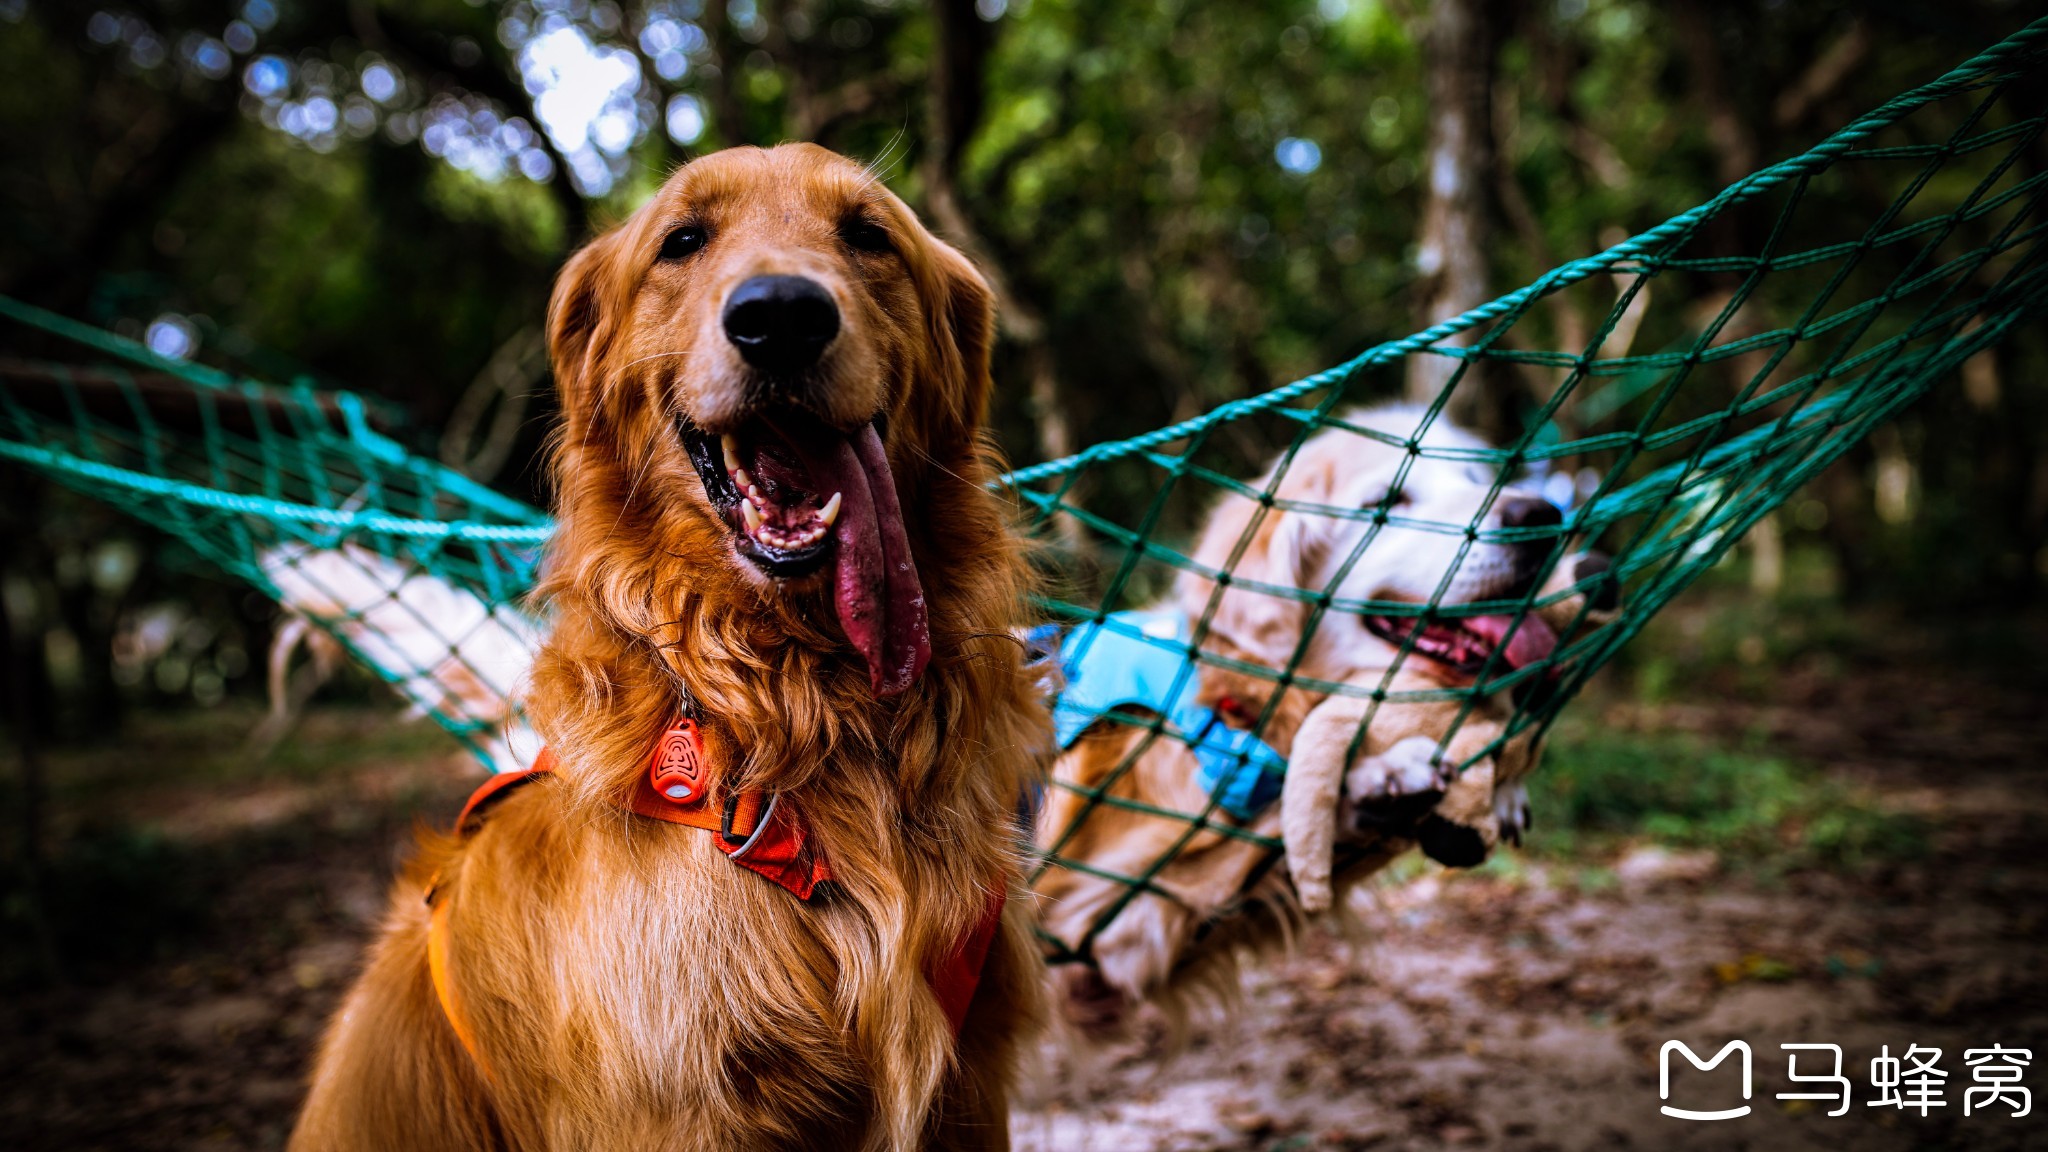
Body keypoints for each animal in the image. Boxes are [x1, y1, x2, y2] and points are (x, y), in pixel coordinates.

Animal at [288, 141, 1048, 1147]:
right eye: (682, 240)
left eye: (867, 234)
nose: (782, 317)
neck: (794, 698)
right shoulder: (679, 1106)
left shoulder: (970, 1082)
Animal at [1032, 403, 1605, 1020]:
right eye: (1386, 502)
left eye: (1478, 479)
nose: (1541, 514)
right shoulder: (1098, 925)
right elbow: (1266, 825)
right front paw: (1385, 776)